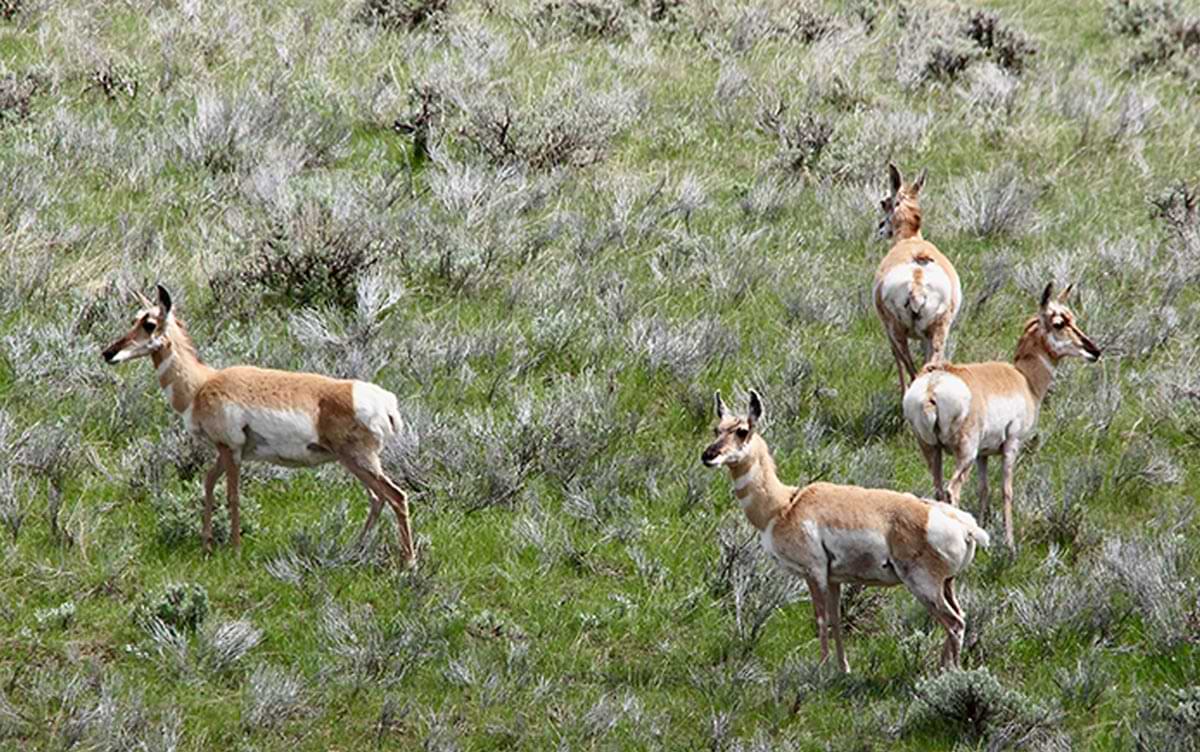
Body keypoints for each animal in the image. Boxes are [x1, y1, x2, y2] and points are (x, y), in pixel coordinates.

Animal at [102, 285, 415, 566]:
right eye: (134, 318)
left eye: (150, 324)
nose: (108, 353)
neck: (201, 384)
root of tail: (384, 400)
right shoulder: (223, 451)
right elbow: (208, 483)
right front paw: (207, 546)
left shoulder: (231, 450)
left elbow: (233, 495)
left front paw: (235, 550)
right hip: (354, 462)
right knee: (377, 498)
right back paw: (355, 551)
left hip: (360, 459)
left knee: (396, 496)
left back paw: (408, 563)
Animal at [702, 390, 989, 672]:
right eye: (717, 429)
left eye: (741, 431)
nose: (708, 455)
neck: (784, 504)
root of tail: (964, 525)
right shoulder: (834, 579)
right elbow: (836, 619)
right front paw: (843, 669)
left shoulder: (814, 572)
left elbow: (821, 619)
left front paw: (822, 670)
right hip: (946, 585)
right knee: (959, 618)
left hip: (924, 585)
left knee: (954, 624)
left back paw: (949, 675)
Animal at [875, 163, 961, 398]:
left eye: (885, 202)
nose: (880, 228)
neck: (911, 240)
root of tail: (917, 281)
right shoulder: (925, 339)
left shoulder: (888, 331)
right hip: (939, 333)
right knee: (930, 367)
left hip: (898, 333)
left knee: (912, 371)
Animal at [903, 283, 1102, 549]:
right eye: (1059, 323)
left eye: (1074, 318)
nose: (1095, 351)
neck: (1024, 379)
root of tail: (933, 385)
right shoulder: (1011, 446)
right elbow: (1007, 491)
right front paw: (1009, 543)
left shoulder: (983, 455)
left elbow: (984, 489)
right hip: (964, 453)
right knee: (952, 491)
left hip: (931, 449)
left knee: (938, 490)